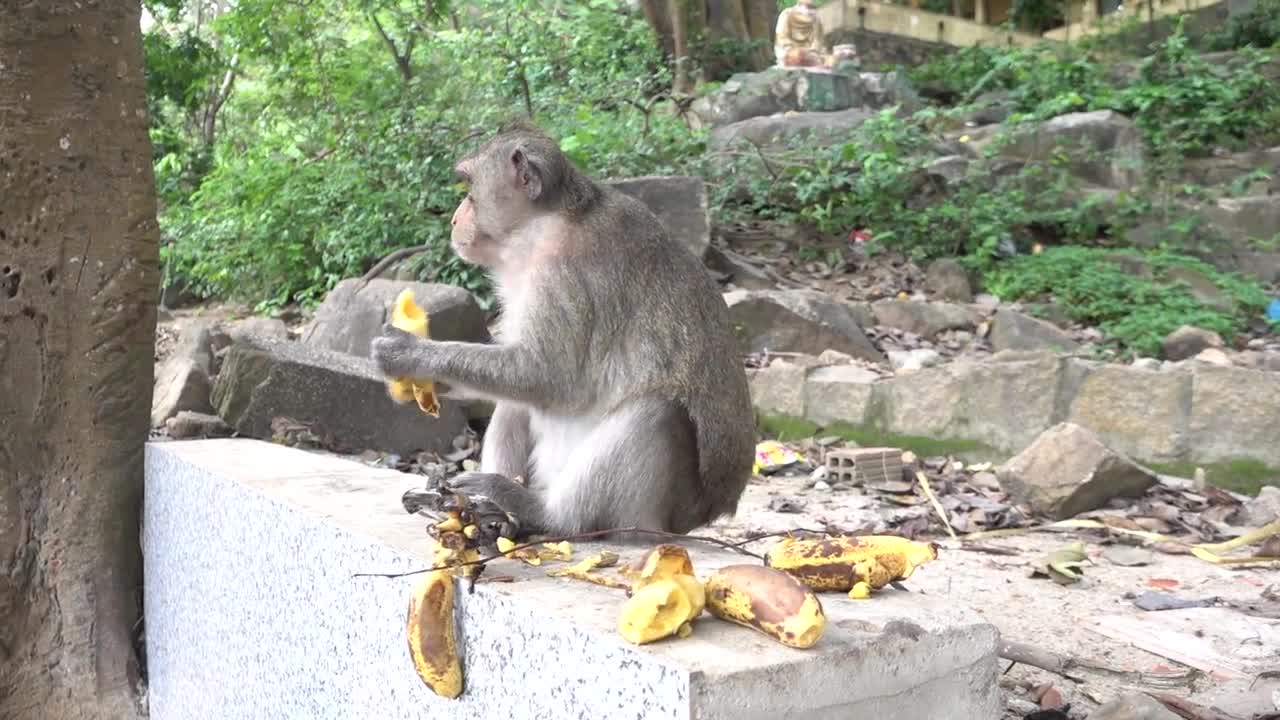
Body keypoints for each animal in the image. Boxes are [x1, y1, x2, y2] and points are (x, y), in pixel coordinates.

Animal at [371, 120, 752, 535]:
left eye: (470, 189)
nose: (455, 219)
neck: (542, 224)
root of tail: (695, 519)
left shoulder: (562, 275)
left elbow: (547, 376)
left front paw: (410, 354)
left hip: (654, 508)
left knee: (657, 411)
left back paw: (544, 513)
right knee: (513, 400)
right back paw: (490, 509)